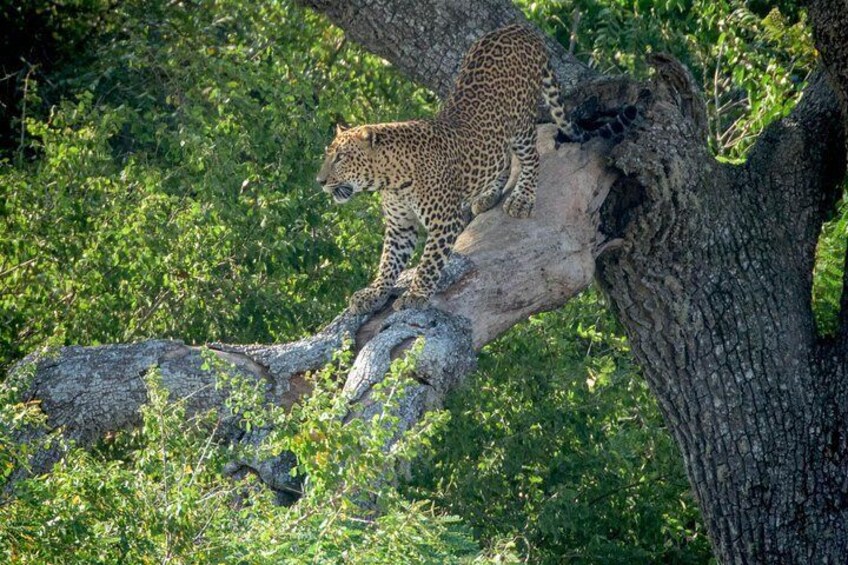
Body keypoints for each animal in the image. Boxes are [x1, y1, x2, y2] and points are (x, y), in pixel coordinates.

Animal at [318, 24, 636, 312]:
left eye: (341, 157)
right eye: (329, 156)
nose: (320, 181)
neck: (391, 180)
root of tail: (520, 28)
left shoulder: (444, 222)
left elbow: (429, 261)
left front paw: (416, 295)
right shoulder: (400, 227)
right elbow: (388, 262)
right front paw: (373, 294)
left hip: (520, 123)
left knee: (532, 157)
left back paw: (522, 199)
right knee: (502, 157)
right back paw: (488, 195)